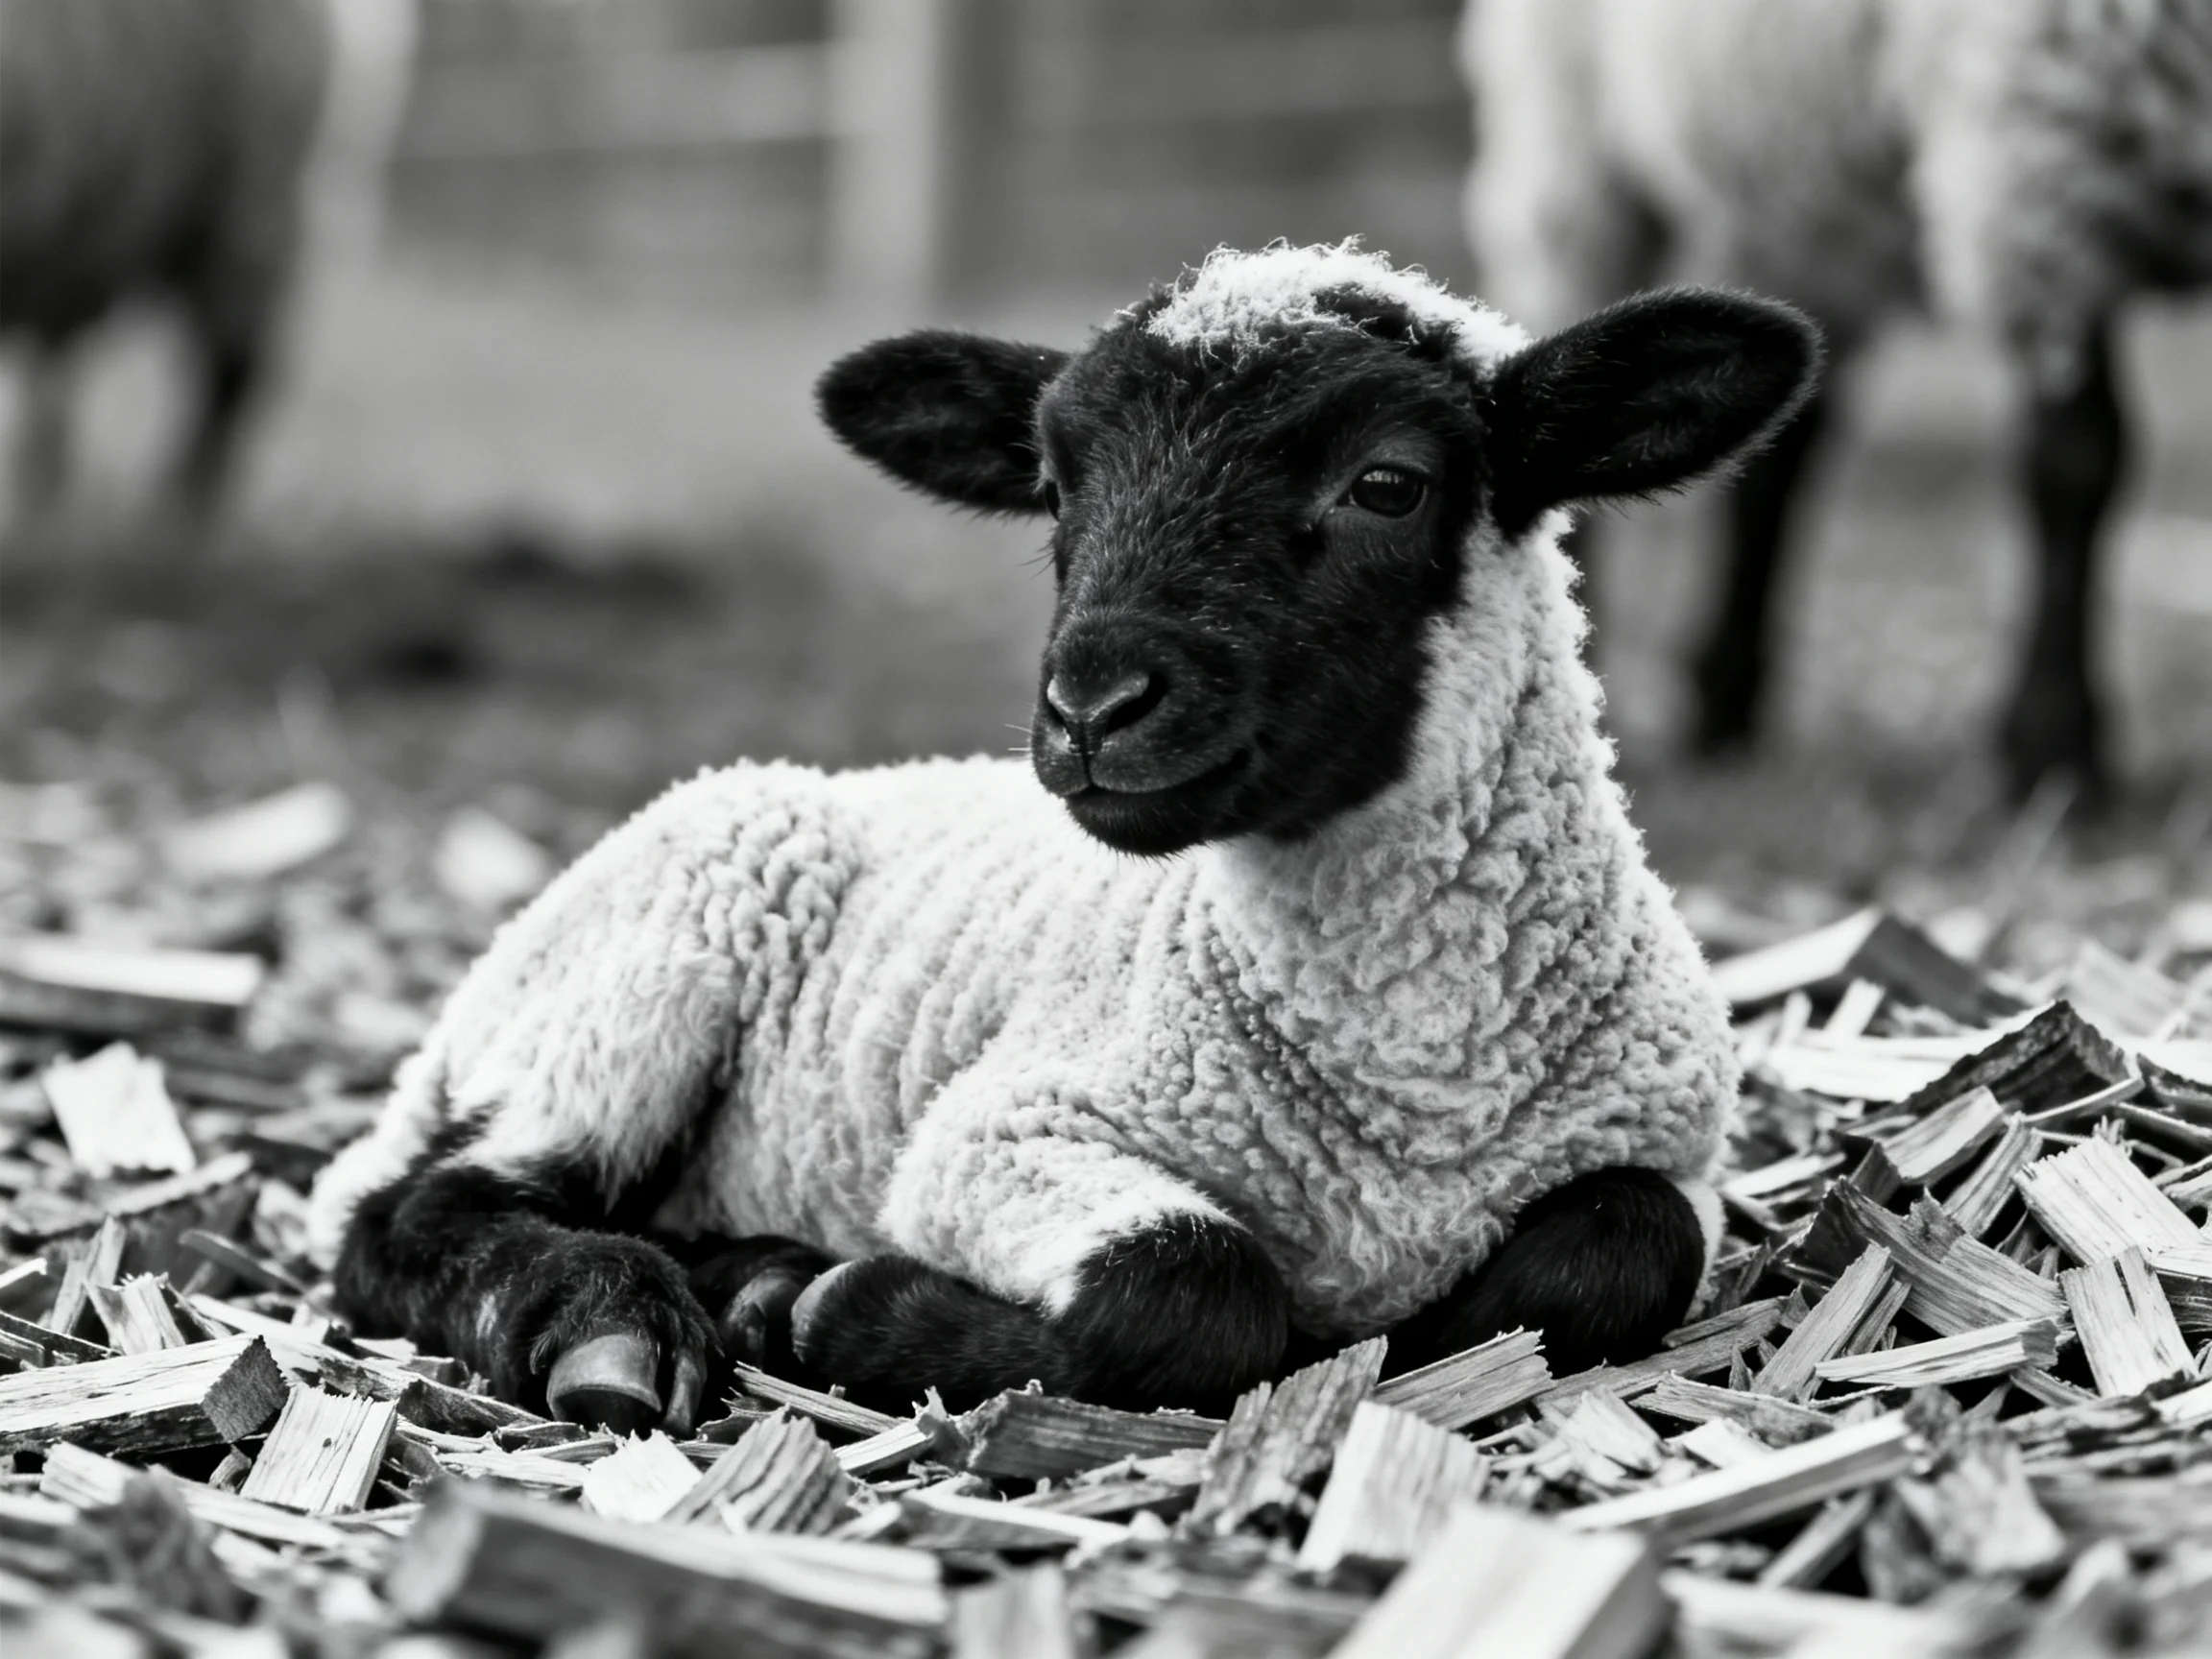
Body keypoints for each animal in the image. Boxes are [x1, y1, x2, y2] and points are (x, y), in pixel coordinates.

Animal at [307, 244, 1818, 1430]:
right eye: (1053, 482)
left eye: (1388, 483)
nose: (1092, 706)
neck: (1411, 1088)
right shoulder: (1000, 1130)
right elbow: (1194, 1286)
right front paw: (850, 1311)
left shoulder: (1676, 1152)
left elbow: (1617, 1255)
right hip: (640, 976)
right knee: (407, 1208)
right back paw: (621, 1326)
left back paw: (740, 1278)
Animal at [1462, 0, 2212, 798]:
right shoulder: (2045, 171)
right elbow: (2078, 464)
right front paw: (2054, 749)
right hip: (1573, 138)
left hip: (1798, 182)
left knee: (1774, 453)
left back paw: (1725, 706)